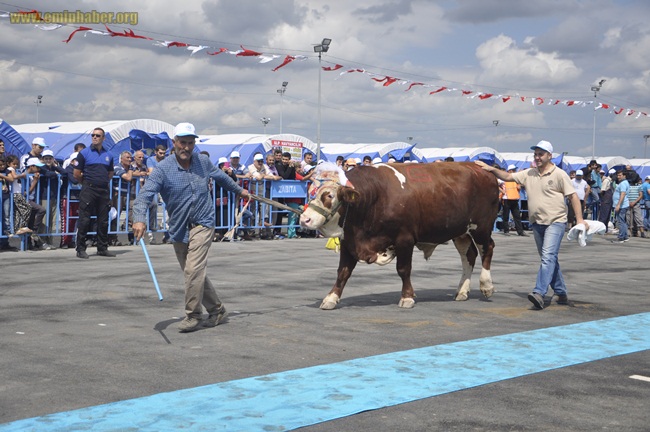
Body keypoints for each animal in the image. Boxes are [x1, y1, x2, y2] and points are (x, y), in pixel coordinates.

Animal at [302, 160, 498, 308]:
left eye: (329, 195)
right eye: (310, 192)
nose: (305, 219)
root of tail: (483, 170)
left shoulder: (405, 239)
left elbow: (403, 269)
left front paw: (407, 297)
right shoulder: (349, 241)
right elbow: (343, 271)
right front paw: (331, 298)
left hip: (481, 227)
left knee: (487, 249)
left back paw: (486, 285)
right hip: (461, 232)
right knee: (469, 256)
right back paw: (462, 291)